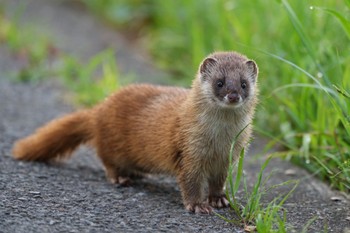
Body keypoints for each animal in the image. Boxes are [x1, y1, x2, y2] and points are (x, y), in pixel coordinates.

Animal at [12, 51, 258, 215]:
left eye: (244, 84)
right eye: (220, 82)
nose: (233, 95)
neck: (220, 140)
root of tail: (100, 108)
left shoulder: (226, 159)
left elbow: (218, 182)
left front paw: (219, 200)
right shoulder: (189, 151)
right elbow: (190, 181)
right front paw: (198, 205)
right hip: (112, 145)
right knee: (107, 160)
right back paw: (120, 177)